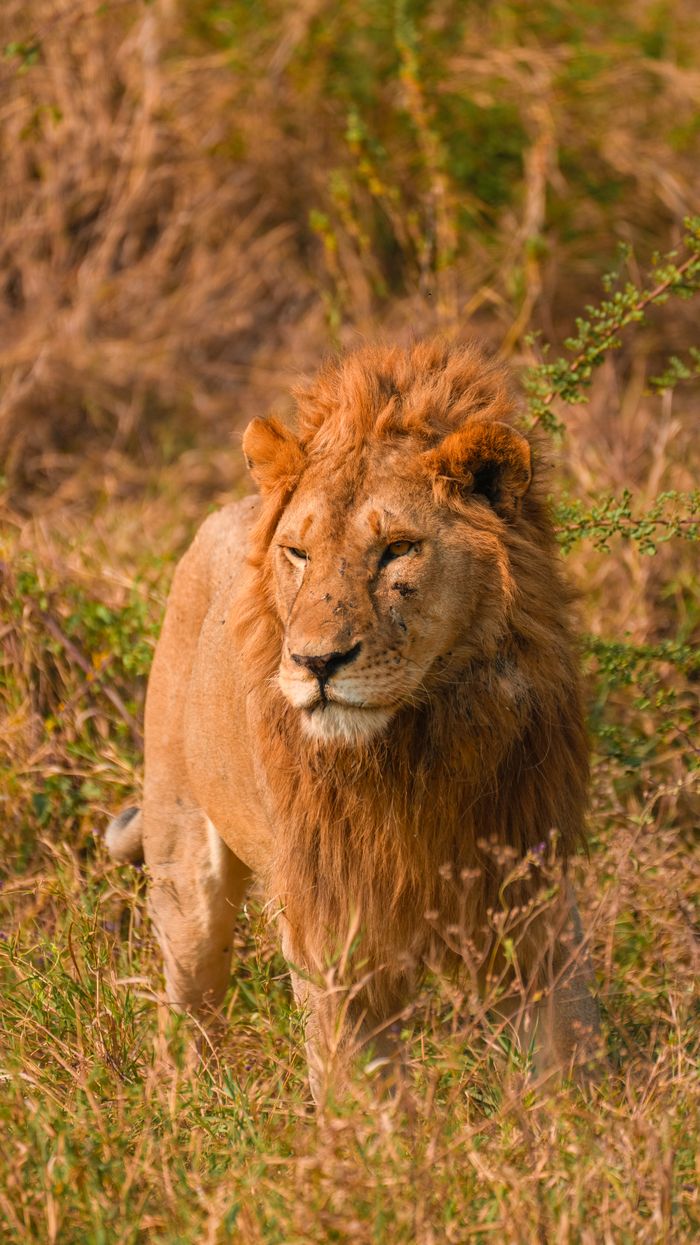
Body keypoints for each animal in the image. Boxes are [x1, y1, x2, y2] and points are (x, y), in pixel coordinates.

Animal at [107, 340, 602, 1098]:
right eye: (299, 552)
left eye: (398, 548)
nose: (316, 661)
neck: (422, 746)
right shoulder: (334, 930)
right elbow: (363, 1098)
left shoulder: (534, 893)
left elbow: (566, 1054)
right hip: (181, 852)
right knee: (187, 998)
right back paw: (185, 1100)